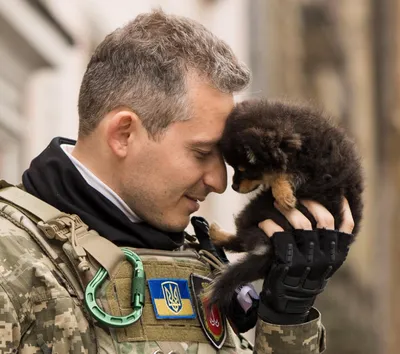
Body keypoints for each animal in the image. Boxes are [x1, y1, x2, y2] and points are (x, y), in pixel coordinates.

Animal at [208, 99, 364, 310]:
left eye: (244, 170)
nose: (233, 186)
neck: (300, 142)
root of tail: (270, 251)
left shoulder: (319, 175)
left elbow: (287, 175)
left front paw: (283, 195)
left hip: (257, 209)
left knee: (243, 237)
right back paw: (217, 234)